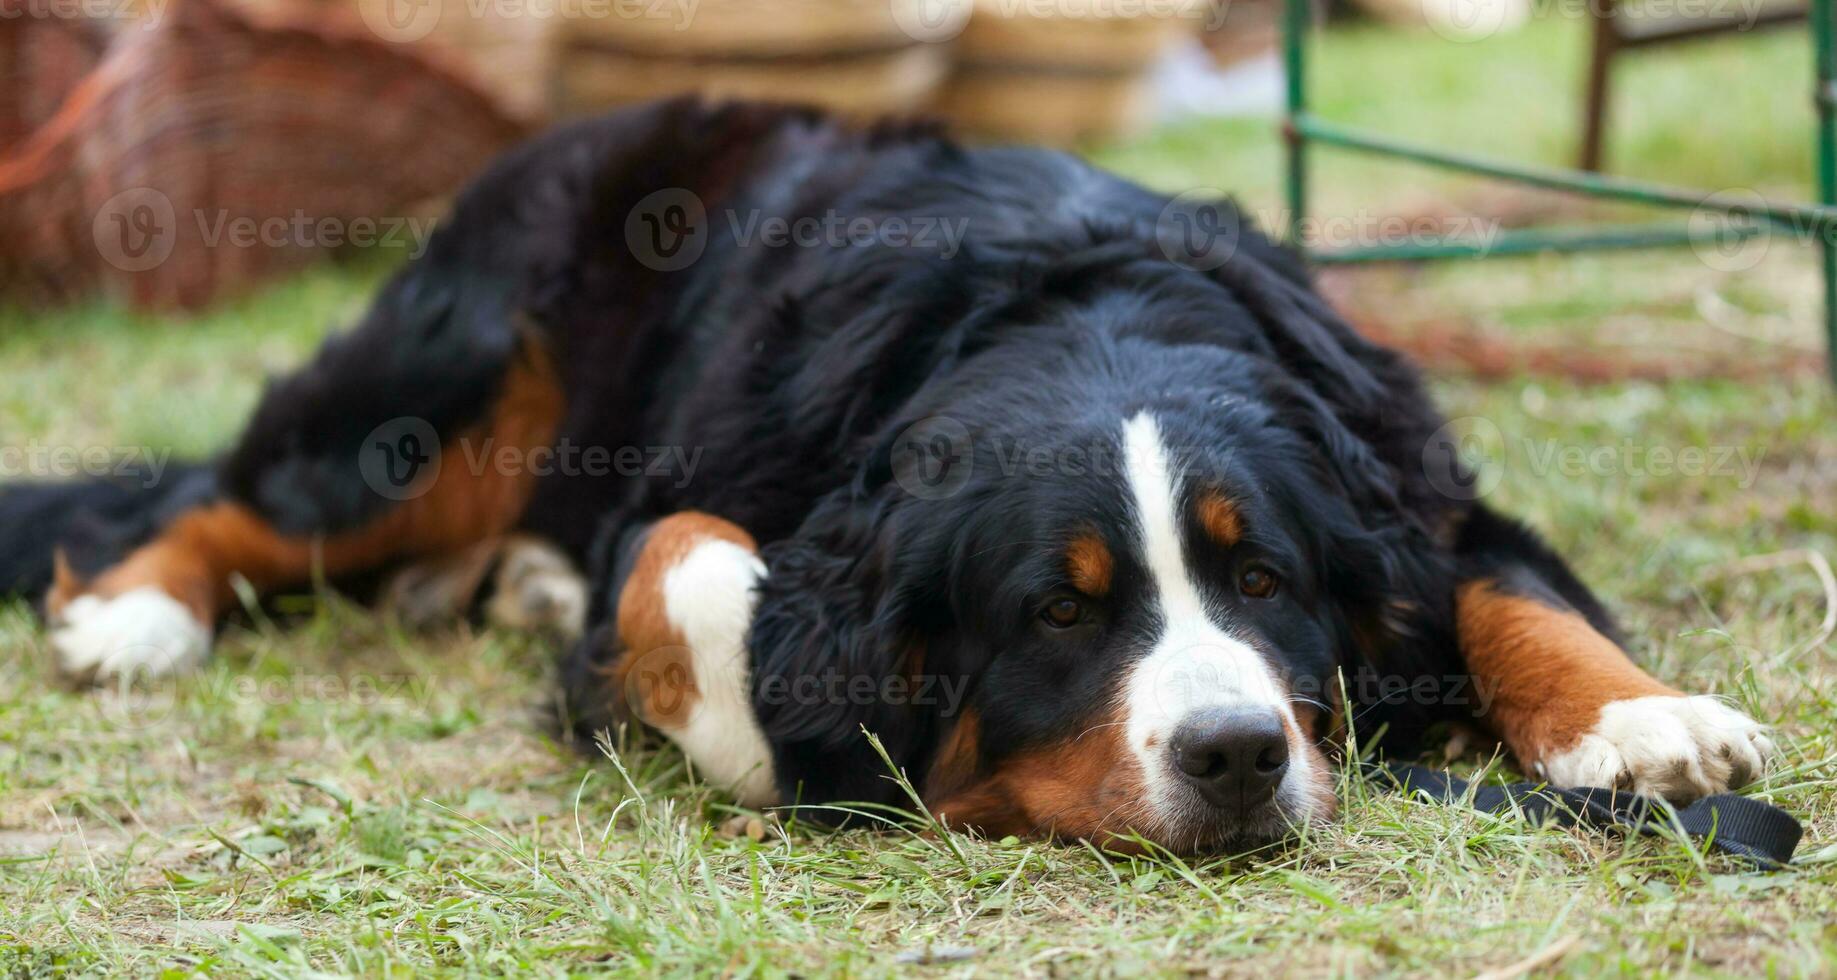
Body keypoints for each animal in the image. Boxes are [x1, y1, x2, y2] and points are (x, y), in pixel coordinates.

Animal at [3, 95, 1778, 853]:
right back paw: (138, 617)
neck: (1078, 306)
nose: (1233, 754)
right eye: (1058, 616)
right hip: (454, 373)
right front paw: (741, 725)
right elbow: (695, 560)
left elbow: (1496, 585)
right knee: (238, 500)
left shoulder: (1394, 468)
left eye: (1261, 577)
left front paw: (1639, 720)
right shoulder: (700, 490)